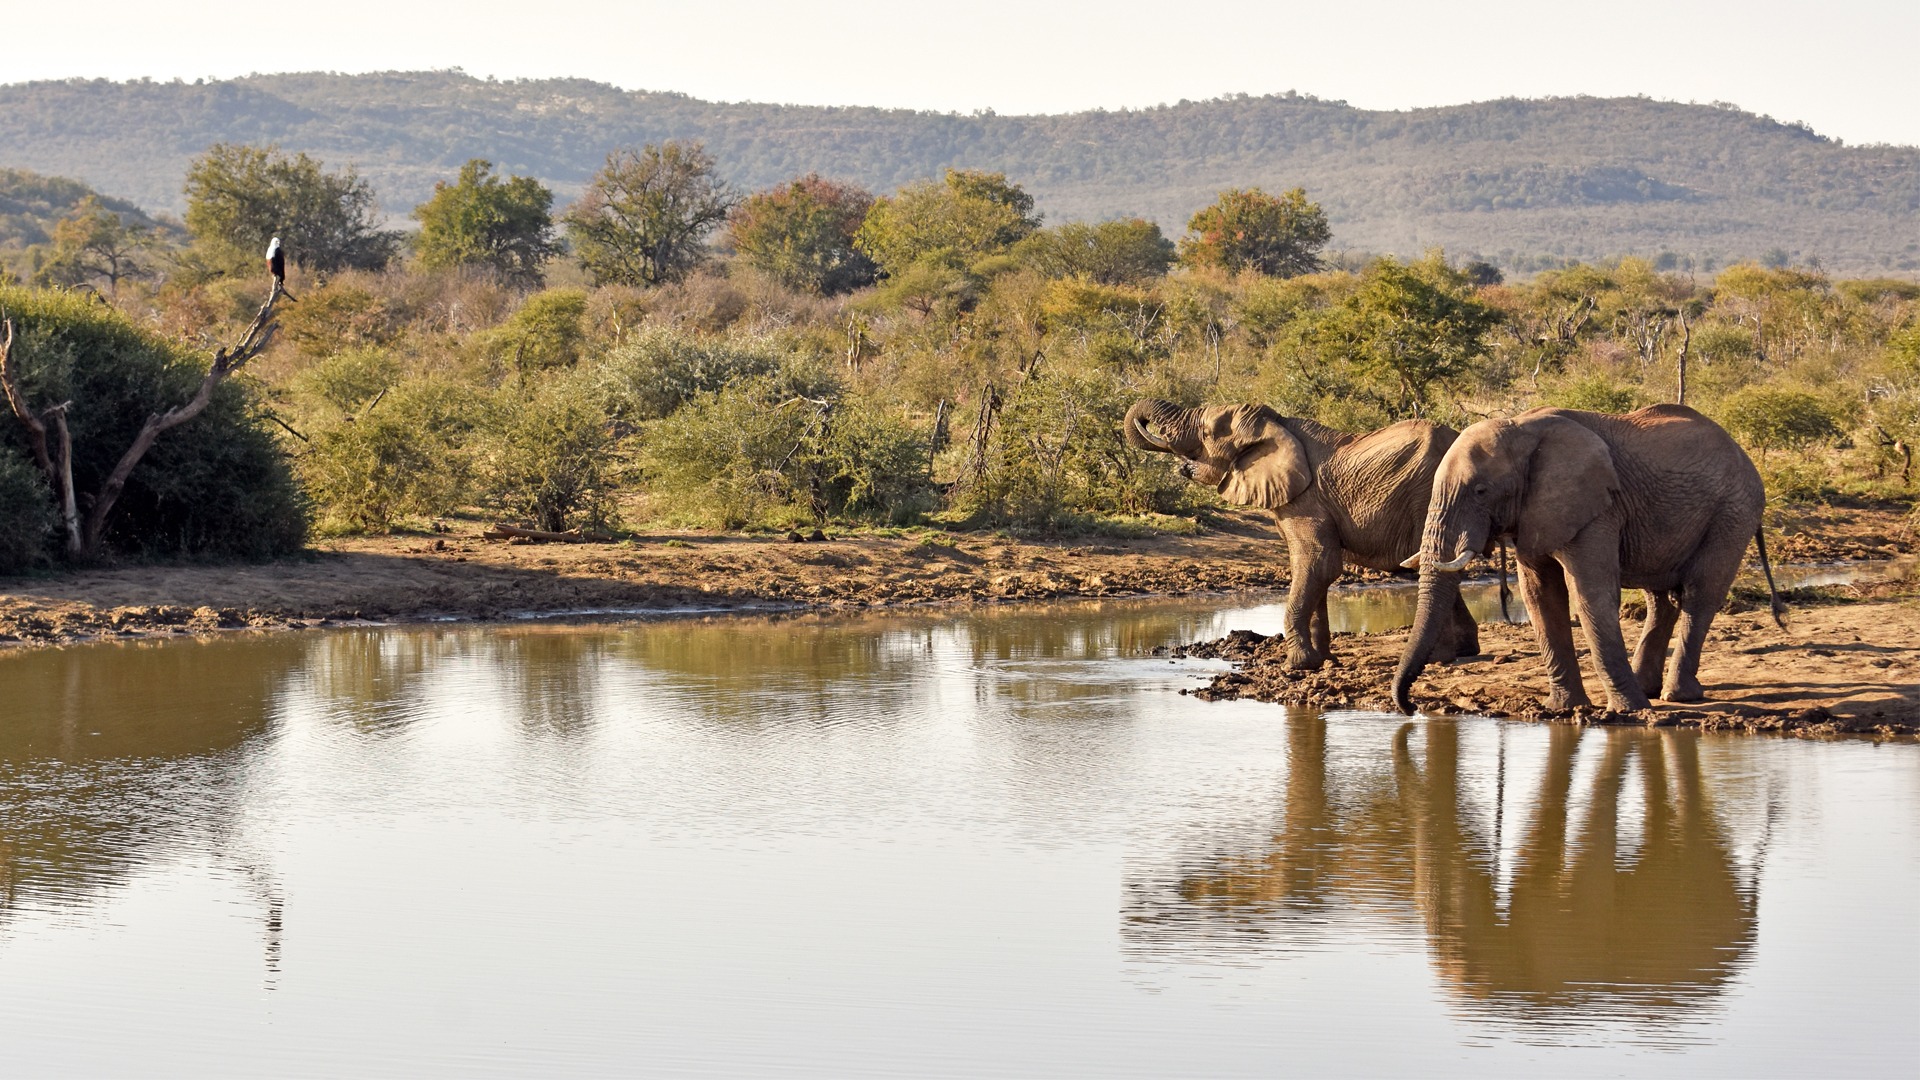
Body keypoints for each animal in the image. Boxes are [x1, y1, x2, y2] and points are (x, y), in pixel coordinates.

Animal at [1121, 395, 1482, 664]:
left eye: (1207, 432)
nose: (1183, 464)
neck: (1278, 424)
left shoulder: (1306, 500)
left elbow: (1319, 563)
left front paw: (1298, 664)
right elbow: (1311, 569)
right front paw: (1323, 660)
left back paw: (1441, 657)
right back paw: (1463, 651)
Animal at [1390, 399, 1774, 711]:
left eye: (1481, 491)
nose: (1412, 707)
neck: (1521, 429)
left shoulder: (1595, 507)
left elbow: (1591, 592)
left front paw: (1629, 711)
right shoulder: (1535, 511)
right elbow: (1540, 596)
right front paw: (1565, 708)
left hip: (1733, 512)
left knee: (1700, 594)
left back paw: (1677, 696)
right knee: (1660, 598)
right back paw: (1650, 689)